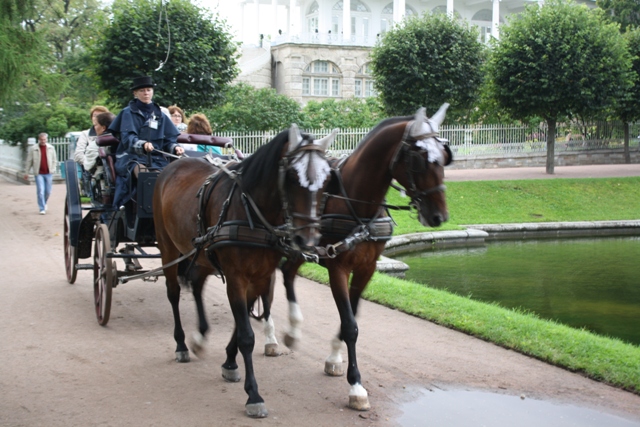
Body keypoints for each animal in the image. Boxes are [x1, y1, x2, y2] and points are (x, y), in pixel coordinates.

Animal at [153, 125, 338, 420]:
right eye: (292, 177)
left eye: (327, 179)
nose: (307, 240)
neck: (252, 211)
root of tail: (174, 164)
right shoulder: (237, 278)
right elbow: (247, 335)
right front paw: (254, 395)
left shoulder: (259, 276)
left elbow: (243, 323)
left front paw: (229, 362)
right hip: (168, 247)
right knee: (173, 293)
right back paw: (181, 344)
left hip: (202, 253)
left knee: (197, 283)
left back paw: (200, 335)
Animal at [278, 103, 452, 412]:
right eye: (419, 160)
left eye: (444, 156)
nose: (438, 216)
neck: (355, 202)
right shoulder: (337, 266)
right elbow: (350, 325)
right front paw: (356, 385)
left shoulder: (366, 268)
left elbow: (353, 314)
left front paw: (334, 357)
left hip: (300, 246)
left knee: (287, 273)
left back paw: (293, 330)